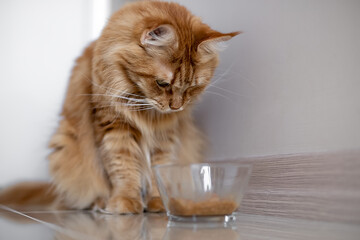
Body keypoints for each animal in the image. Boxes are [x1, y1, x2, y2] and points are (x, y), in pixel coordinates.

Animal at [0, 0, 239, 214]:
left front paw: (158, 202)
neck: (145, 109)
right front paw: (125, 202)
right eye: (162, 83)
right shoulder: (114, 127)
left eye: (192, 87)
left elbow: (159, 172)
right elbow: (123, 169)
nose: (175, 107)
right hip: (66, 144)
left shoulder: (164, 136)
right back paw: (100, 204)